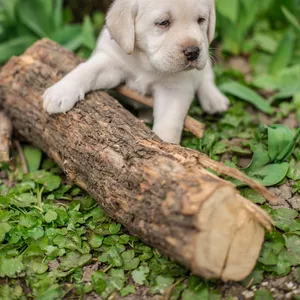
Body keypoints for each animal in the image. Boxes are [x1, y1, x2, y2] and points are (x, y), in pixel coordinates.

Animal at [42, 0, 230, 144]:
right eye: (163, 22)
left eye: (201, 20)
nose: (193, 51)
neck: (146, 62)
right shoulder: (111, 61)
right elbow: (87, 70)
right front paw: (60, 92)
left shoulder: (176, 90)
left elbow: (169, 123)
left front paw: (167, 148)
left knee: (206, 77)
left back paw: (214, 100)